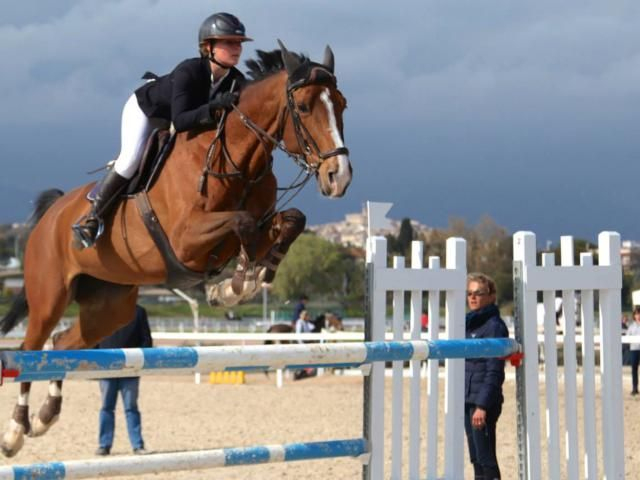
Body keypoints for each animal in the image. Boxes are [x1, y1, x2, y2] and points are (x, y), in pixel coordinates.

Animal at [0, 42, 350, 458]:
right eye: (306, 106)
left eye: (342, 105)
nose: (339, 177)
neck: (236, 160)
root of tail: (51, 215)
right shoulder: (187, 240)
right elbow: (243, 224)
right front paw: (236, 285)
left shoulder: (255, 221)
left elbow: (291, 220)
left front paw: (247, 277)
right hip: (49, 294)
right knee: (31, 348)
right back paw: (16, 431)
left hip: (110, 306)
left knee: (62, 344)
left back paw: (45, 415)